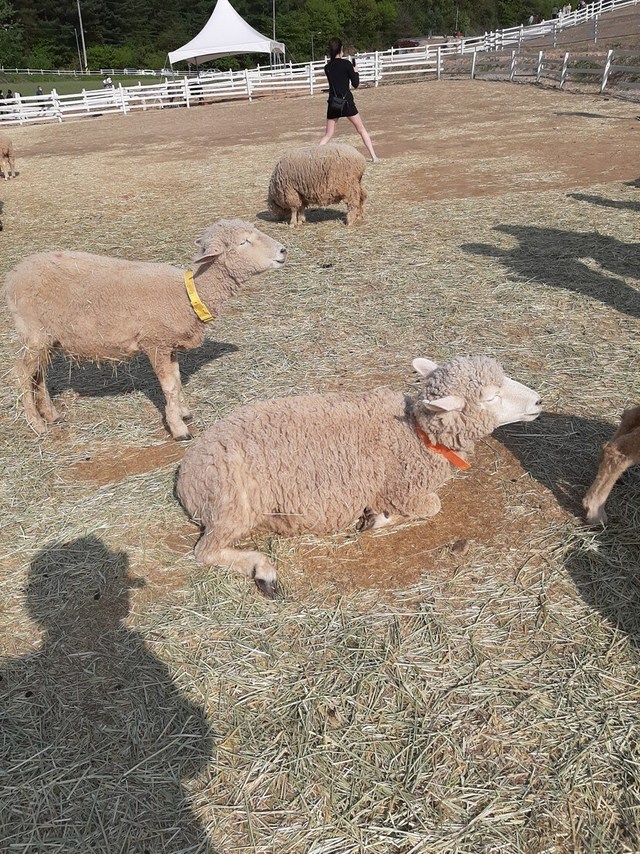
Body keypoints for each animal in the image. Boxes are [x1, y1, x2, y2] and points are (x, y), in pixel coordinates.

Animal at [5, 220, 286, 440]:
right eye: (243, 242)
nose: (284, 250)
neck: (188, 294)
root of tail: (13, 274)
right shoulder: (156, 342)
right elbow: (169, 385)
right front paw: (179, 429)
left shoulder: (169, 345)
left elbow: (177, 379)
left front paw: (184, 412)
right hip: (33, 333)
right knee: (21, 374)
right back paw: (37, 424)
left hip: (48, 338)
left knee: (38, 374)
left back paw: (51, 414)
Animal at [176, 355, 542, 596]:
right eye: (490, 397)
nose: (539, 401)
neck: (415, 434)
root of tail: (185, 475)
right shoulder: (399, 489)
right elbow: (431, 506)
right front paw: (377, 519)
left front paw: (375, 518)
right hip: (232, 504)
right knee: (205, 552)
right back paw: (263, 571)